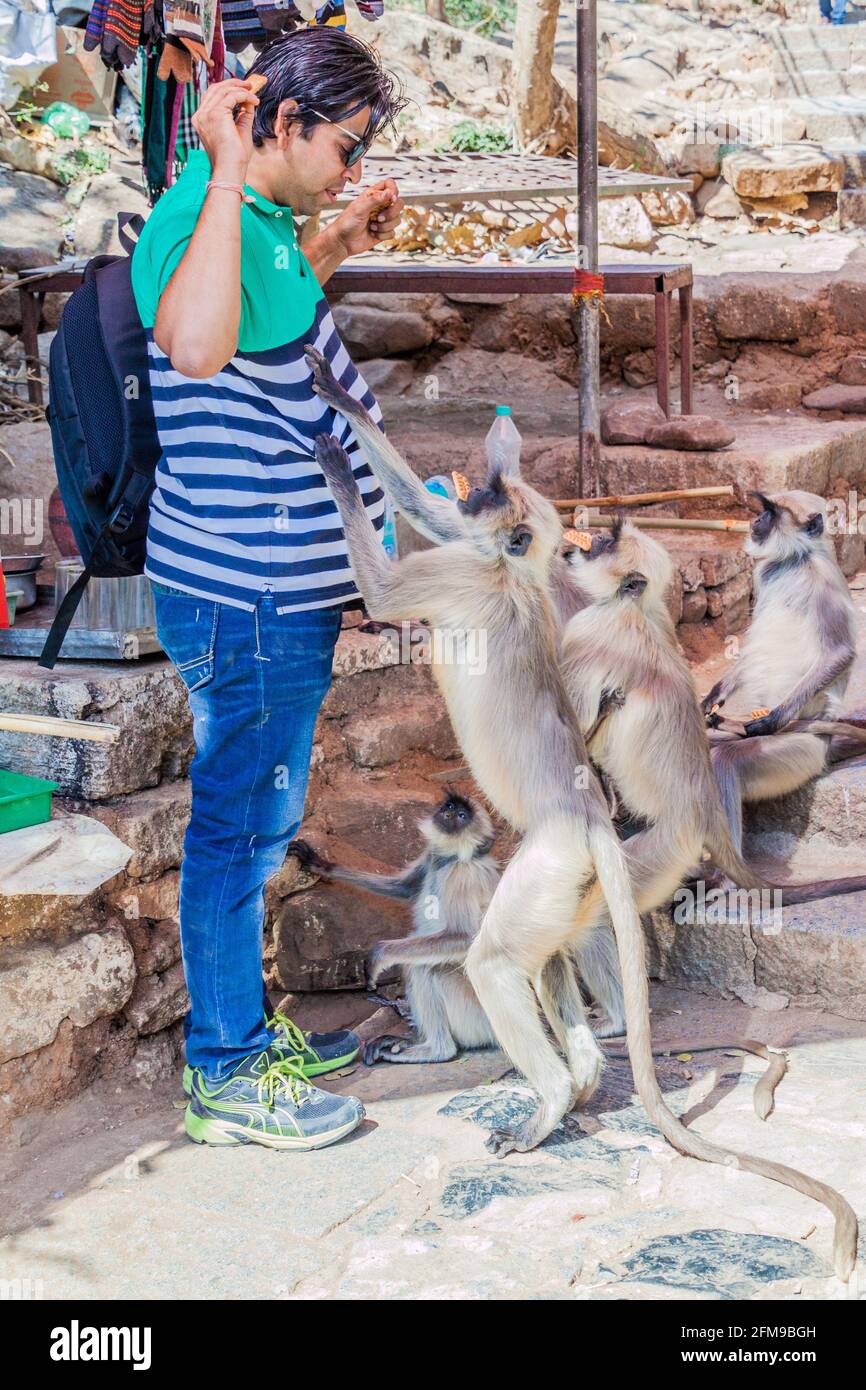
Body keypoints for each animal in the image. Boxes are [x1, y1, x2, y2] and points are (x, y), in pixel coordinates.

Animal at [287, 795, 497, 1061]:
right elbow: (402, 888)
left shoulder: (463, 876)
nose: (449, 813)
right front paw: (321, 865)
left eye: (462, 816)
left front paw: (379, 953)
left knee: (426, 968)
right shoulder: (431, 857)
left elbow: (464, 938)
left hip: (478, 1012)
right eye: (450, 808)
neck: (449, 860)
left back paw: (436, 1050)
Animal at [706, 489, 861, 856]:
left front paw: (770, 720)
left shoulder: (824, 579)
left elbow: (841, 652)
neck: (795, 561)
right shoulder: (763, 575)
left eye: (772, 513)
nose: (757, 519)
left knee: (725, 760)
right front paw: (714, 698)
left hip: (802, 748)